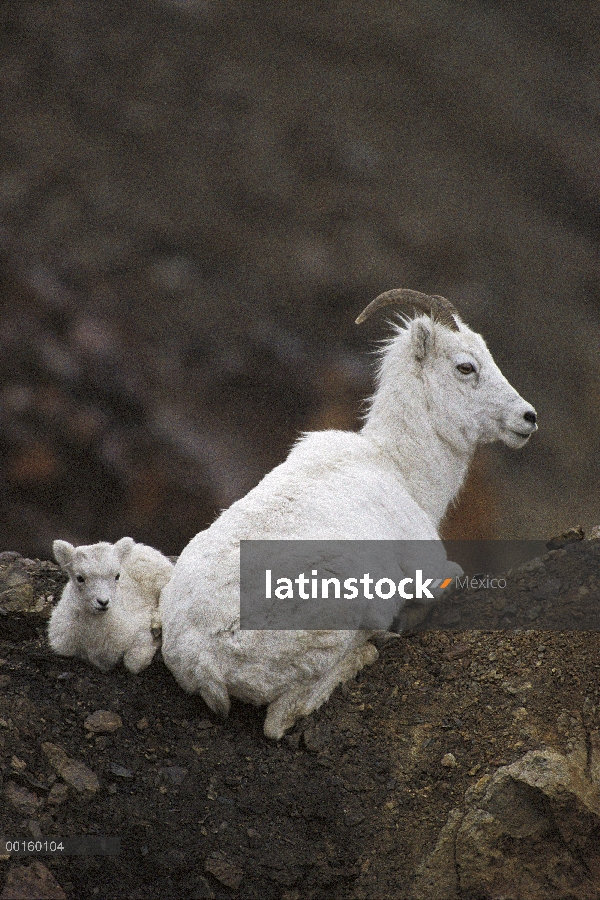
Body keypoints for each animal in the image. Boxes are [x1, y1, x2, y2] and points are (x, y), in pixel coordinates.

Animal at [48, 536, 173, 676]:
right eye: (79, 578)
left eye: (117, 576)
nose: (103, 602)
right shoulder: (62, 645)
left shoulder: (140, 626)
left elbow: (134, 664)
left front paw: (156, 640)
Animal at [161, 288, 540, 740]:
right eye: (466, 366)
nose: (528, 418)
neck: (399, 469)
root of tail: (200, 658)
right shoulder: (433, 570)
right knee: (282, 717)